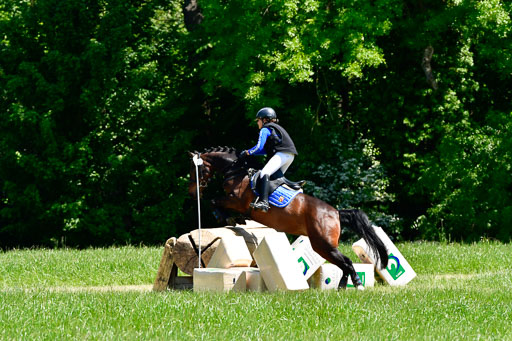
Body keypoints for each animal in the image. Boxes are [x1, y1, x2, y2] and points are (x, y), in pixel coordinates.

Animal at [188, 145, 388, 288]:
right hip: (323, 246)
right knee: (344, 263)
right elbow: (219, 204)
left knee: (346, 261)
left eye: (195, 170)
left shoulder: (236, 200)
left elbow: (214, 201)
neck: (237, 172)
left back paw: (356, 284)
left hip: (323, 244)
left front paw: (227, 217)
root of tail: (336, 213)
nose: (192, 193)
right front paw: (235, 219)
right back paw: (342, 286)